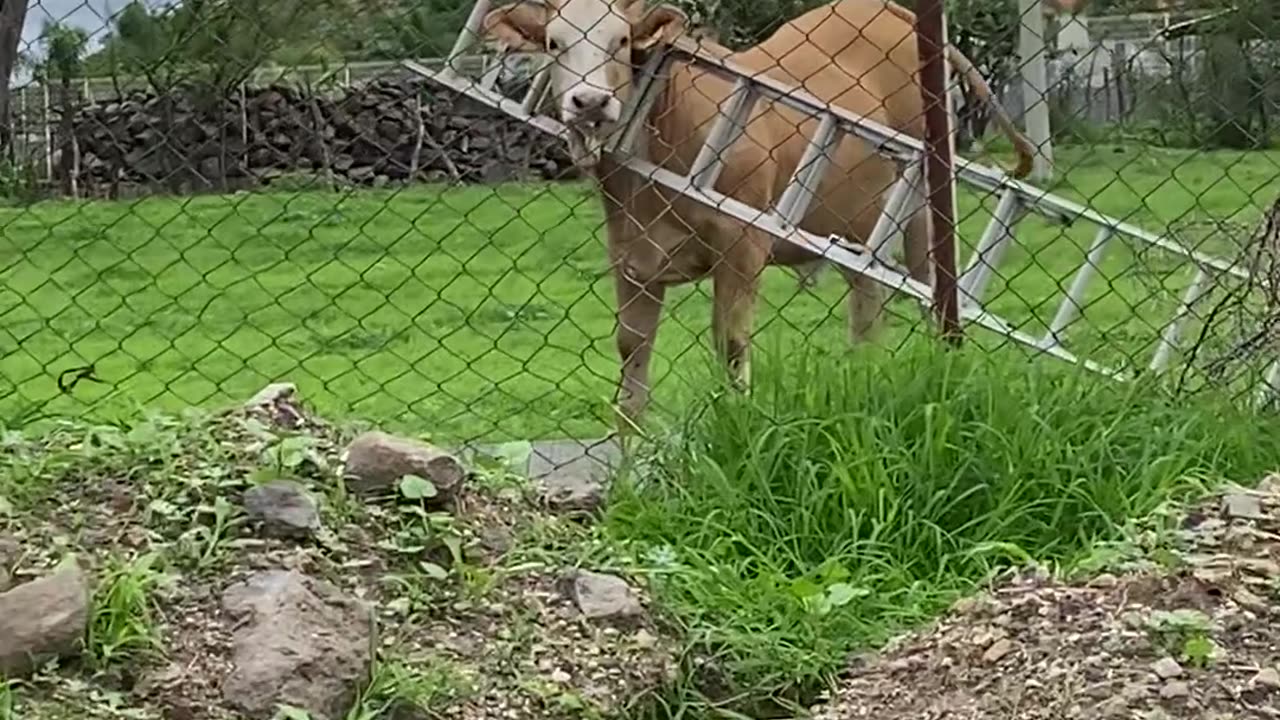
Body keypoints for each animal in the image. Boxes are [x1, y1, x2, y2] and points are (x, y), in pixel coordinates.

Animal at [481, 0, 1039, 427]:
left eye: (620, 41)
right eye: (554, 43)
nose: (590, 101)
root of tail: (888, 12)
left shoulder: (742, 246)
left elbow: (730, 345)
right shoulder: (632, 258)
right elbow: (631, 361)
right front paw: (625, 479)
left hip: (922, 204)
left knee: (932, 297)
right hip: (856, 227)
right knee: (867, 306)